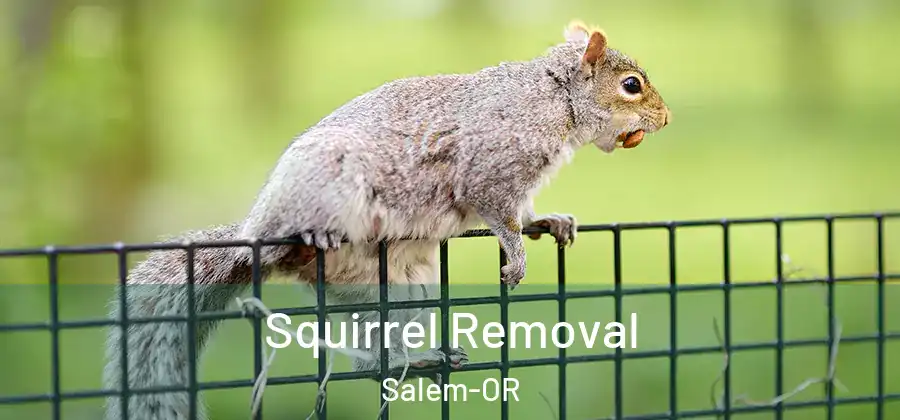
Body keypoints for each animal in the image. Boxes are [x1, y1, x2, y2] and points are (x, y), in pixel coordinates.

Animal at [102, 20, 670, 420]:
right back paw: (312, 238)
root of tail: (253, 237)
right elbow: (498, 214)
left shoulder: (519, 183)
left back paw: (412, 360)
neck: (554, 98)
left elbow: (524, 211)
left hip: (397, 289)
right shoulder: (489, 168)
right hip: (325, 187)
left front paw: (549, 222)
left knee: (371, 357)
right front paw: (516, 256)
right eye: (631, 85)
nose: (665, 120)